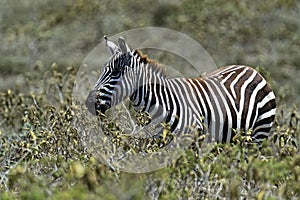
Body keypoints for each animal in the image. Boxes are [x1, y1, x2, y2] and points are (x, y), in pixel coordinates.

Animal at [85, 36, 276, 145]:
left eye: (116, 73)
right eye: (102, 71)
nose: (89, 103)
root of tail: (250, 68)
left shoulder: (192, 139)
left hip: (258, 134)